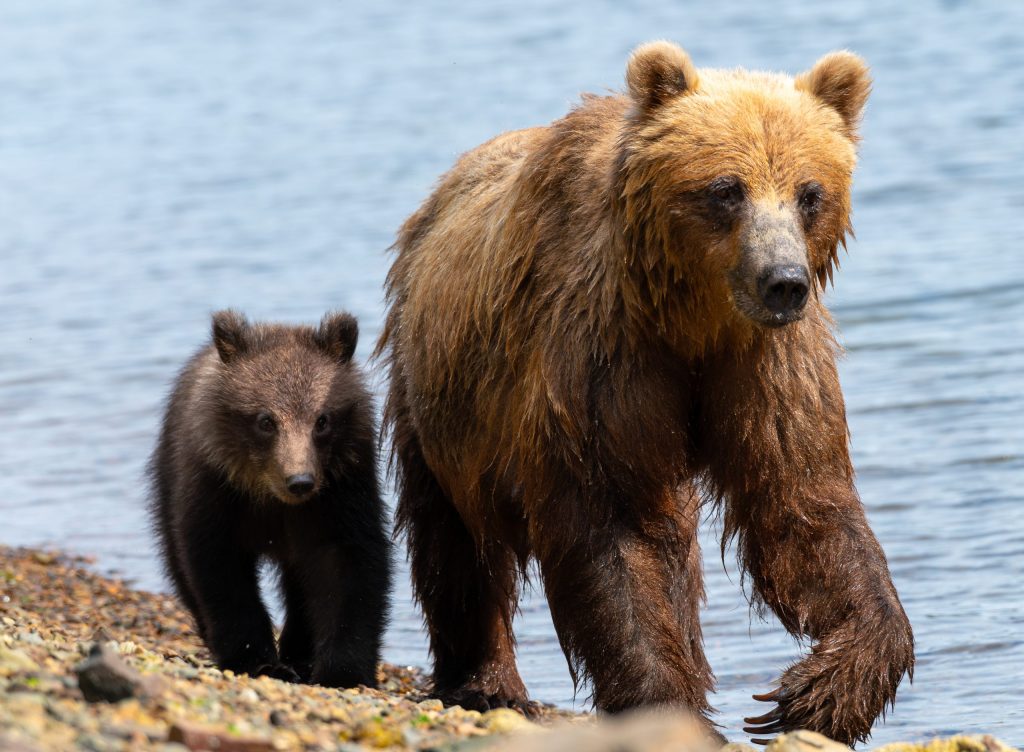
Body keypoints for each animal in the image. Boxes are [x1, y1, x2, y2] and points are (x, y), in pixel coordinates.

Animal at [149, 310, 391, 688]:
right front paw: (255, 658)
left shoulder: (341, 495)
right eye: (266, 420)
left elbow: (349, 568)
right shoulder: (216, 491)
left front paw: (342, 670)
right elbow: (219, 569)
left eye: (322, 420)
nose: (300, 481)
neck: (270, 498)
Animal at [376, 41, 913, 745]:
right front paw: (667, 701)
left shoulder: (766, 365)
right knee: (457, 538)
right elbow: (616, 524)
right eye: (726, 189)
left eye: (809, 193)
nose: (784, 281)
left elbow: (801, 501)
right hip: (443, 397)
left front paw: (819, 691)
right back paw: (485, 680)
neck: (692, 321)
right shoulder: (603, 357)